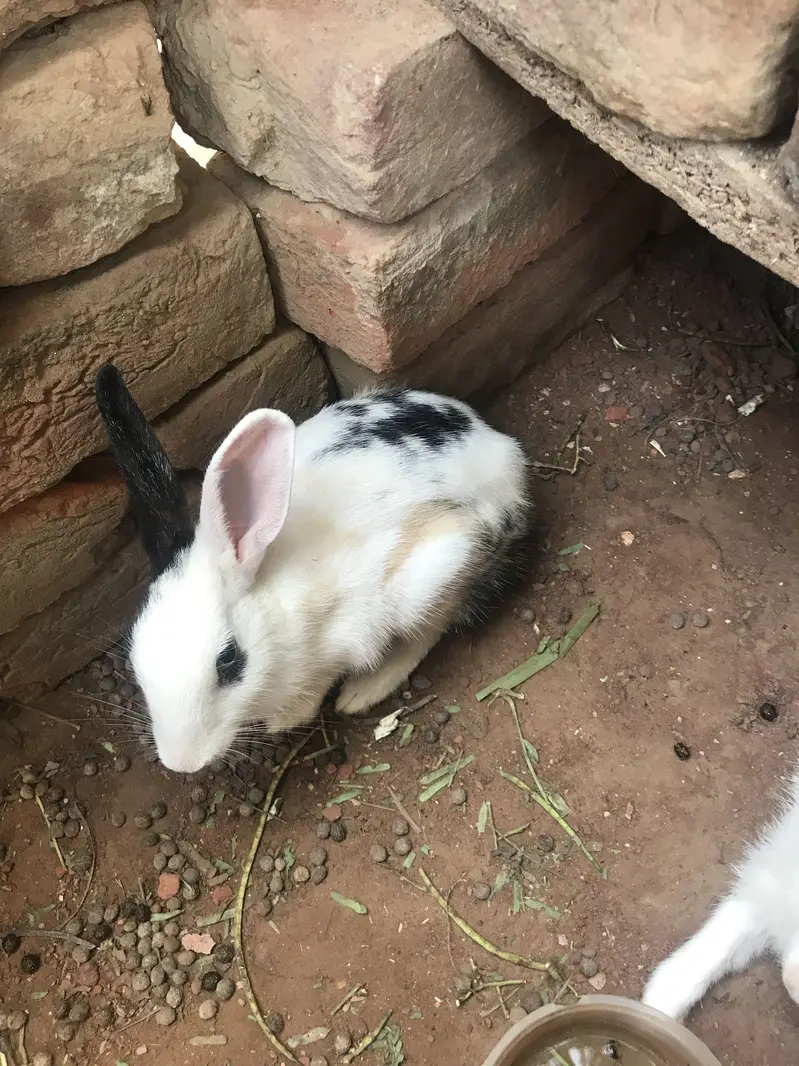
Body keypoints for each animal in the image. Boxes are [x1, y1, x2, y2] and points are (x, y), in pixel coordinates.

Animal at [95, 365, 532, 774]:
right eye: (135, 656)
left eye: (230, 661)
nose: (181, 763)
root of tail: (502, 448)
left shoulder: (344, 637)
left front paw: (286, 719)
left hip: (437, 571)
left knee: (429, 629)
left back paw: (361, 693)